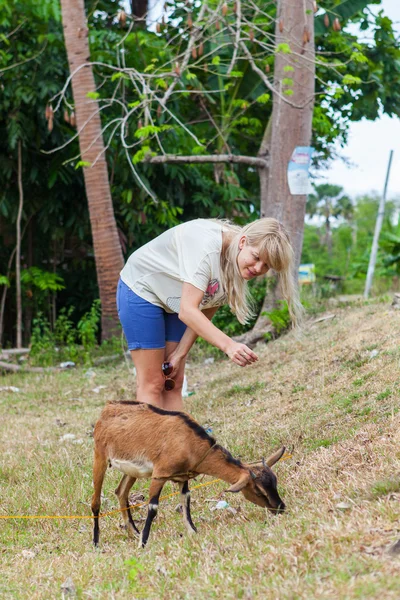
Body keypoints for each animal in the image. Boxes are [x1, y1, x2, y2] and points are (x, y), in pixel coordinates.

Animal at [92, 400, 286, 548]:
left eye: (275, 483)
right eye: (258, 490)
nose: (280, 508)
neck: (189, 442)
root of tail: (106, 409)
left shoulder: (183, 477)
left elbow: (186, 501)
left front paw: (193, 532)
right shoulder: (159, 474)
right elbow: (153, 507)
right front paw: (143, 543)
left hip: (131, 470)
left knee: (121, 492)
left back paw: (133, 531)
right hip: (100, 456)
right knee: (96, 502)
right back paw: (96, 542)